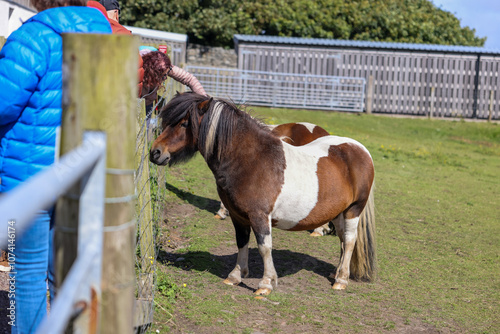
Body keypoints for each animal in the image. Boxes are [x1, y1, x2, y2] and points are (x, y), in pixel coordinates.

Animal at [150, 92, 376, 294]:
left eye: (184, 123)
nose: (155, 152)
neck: (251, 161)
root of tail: (360, 149)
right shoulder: (238, 216)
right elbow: (242, 242)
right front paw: (236, 276)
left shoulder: (259, 216)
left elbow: (264, 246)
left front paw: (266, 284)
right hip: (338, 211)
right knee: (342, 239)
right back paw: (337, 272)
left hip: (353, 210)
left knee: (349, 240)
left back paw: (341, 280)